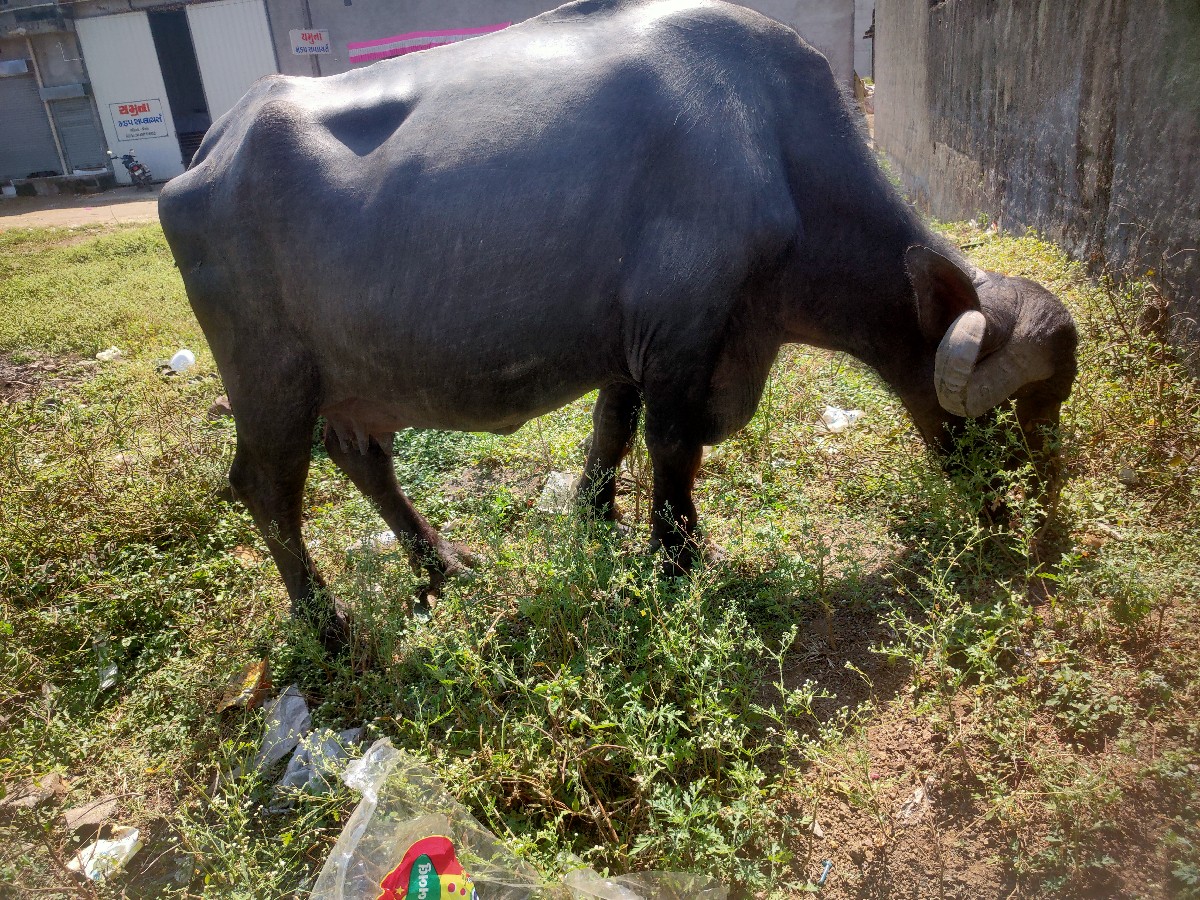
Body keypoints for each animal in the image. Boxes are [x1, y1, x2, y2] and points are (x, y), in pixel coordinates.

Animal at [158, 0, 1077, 649]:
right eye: (1003, 412)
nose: (1028, 524)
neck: (776, 150)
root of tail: (212, 148)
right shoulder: (684, 334)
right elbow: (672, 448)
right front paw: (675, 558)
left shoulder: (632, 346)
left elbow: (612, 431)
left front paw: (597, 525)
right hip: (270, 381)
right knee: (266, 489)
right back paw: (328, 626)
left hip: (353, 383)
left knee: (361, 459)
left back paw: (440, 560)